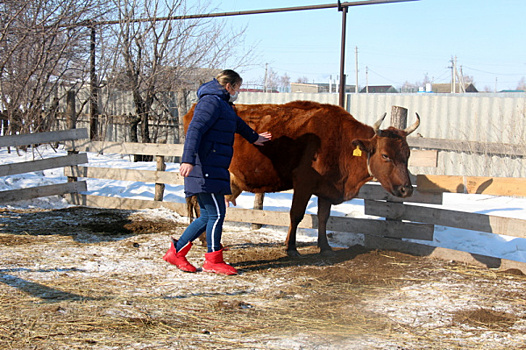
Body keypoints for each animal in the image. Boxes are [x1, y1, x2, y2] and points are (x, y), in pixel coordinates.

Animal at [186, 101, 420, 258]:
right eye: (385, 155)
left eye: (408, 154)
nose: (407, 190)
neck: (340, 142)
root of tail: (192, 109)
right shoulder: (304, 183)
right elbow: (296, 215)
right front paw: (291, 248)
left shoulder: (327, 188)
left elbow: (324, 217)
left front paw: (325, 247)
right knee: (198, 204)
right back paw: (203, 239)